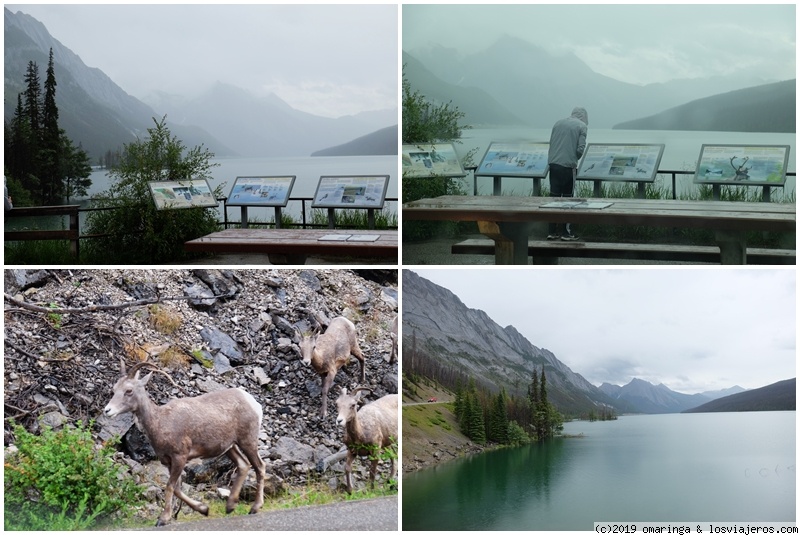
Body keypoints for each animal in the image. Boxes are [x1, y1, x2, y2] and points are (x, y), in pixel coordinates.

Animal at [101, 360, 266, 528]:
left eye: (129, 390)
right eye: (114, 389)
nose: (107, 410)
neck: (160, 422)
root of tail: (253, 402)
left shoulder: (179, 458)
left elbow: (170, 487)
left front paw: (163, 519)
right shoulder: (169, 462)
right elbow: (177, 489)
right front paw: (204, 509)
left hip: (247, 442)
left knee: (259, 467)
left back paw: (254, 508)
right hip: (230, 447)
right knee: (243, 465)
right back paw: (230, 506)